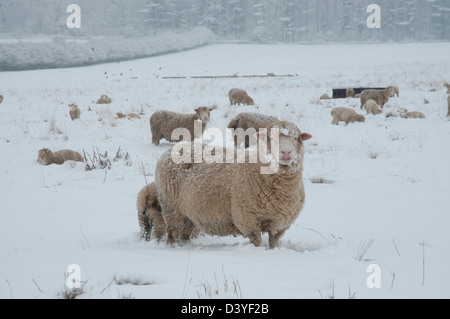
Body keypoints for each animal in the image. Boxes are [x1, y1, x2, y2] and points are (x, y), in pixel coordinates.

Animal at [155, 121, 312, 249]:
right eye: (271, 138)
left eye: (296, 138)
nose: (286, 152)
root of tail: (171, 150)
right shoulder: (248, 219)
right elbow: (256, 241)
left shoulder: (280, 224)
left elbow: (273, 243)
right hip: (171, 206)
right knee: (173, 232)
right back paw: (174, 247)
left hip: (187, 213)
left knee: (185, 232)